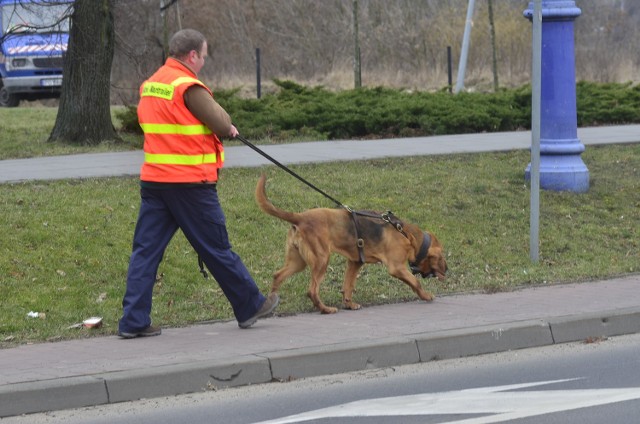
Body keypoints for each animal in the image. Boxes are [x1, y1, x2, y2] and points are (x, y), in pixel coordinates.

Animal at [254, 174, 444, 314]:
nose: (446, 272)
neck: (407, 235)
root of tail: (299, 217)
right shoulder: (397, 267)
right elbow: (415, 282)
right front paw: (426, 296)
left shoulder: (354, 263)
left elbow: (348, 286)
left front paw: (349, 304)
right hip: (321, 260)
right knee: (312, 290)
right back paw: (326, 309)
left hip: (298, 262)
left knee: (278, 275)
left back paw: (270, 303)